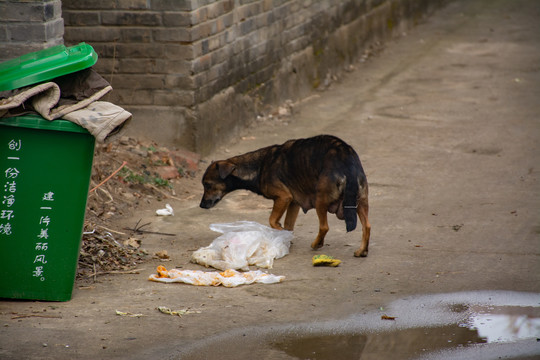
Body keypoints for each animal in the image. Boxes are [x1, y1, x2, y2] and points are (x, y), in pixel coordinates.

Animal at [199, 134, 372, 256]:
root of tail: (347, 160)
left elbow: (272, 220)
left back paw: (316, 244)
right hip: (361, 200)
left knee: (324, 227)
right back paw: (362, 251)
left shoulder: (283, 197)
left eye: (207, 185)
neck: (257, 166)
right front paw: (286, 238)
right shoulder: (293, 202)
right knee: (367, 226)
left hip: (320, 200)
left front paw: (280, 232)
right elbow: (289, 224)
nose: (201, 205)